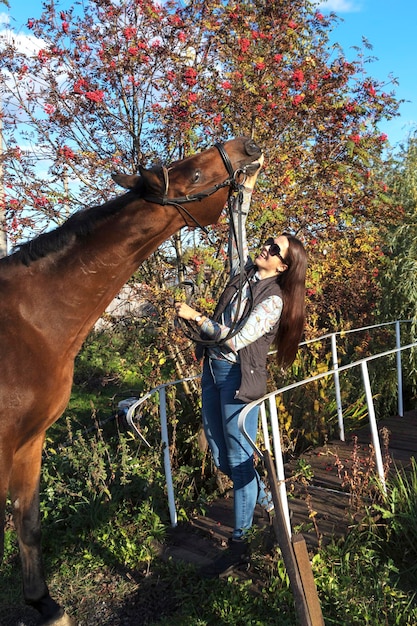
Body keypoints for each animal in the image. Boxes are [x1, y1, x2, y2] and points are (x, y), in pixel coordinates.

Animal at [0, 135, 260, 620]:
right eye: (195, 174)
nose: (247, 146)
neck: (32, 322)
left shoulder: (29, 441)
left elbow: (28, 523)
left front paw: (45, 604)